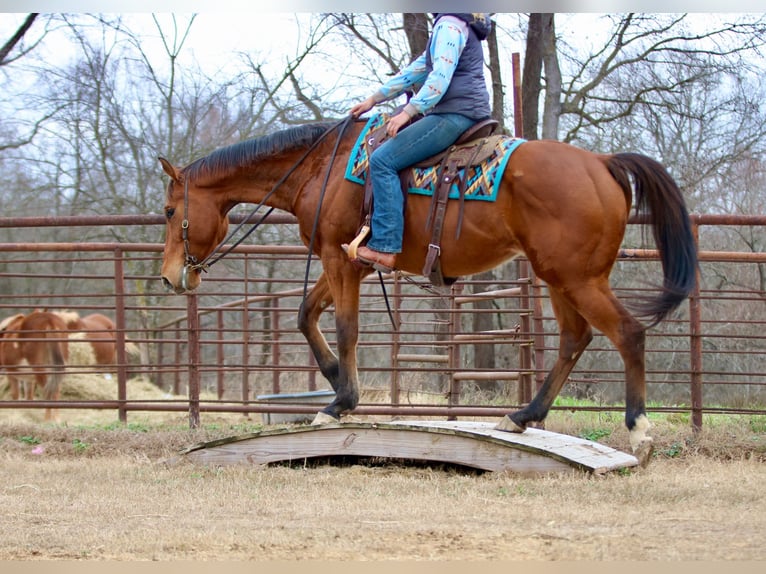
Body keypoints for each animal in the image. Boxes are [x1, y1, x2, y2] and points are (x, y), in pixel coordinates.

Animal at [158, 117, 698, 466]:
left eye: (168, 211)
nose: (169, 276)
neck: (322, 168)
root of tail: (603, 164)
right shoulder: (349, 262)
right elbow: (306, 315)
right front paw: (335, 383)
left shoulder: (338, 258)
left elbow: (346, 327)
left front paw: (339, 403)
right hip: (559, 277)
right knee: (574, 339)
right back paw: (521, 417)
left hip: (576, 278)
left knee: (627, 333)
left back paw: (639, 431)